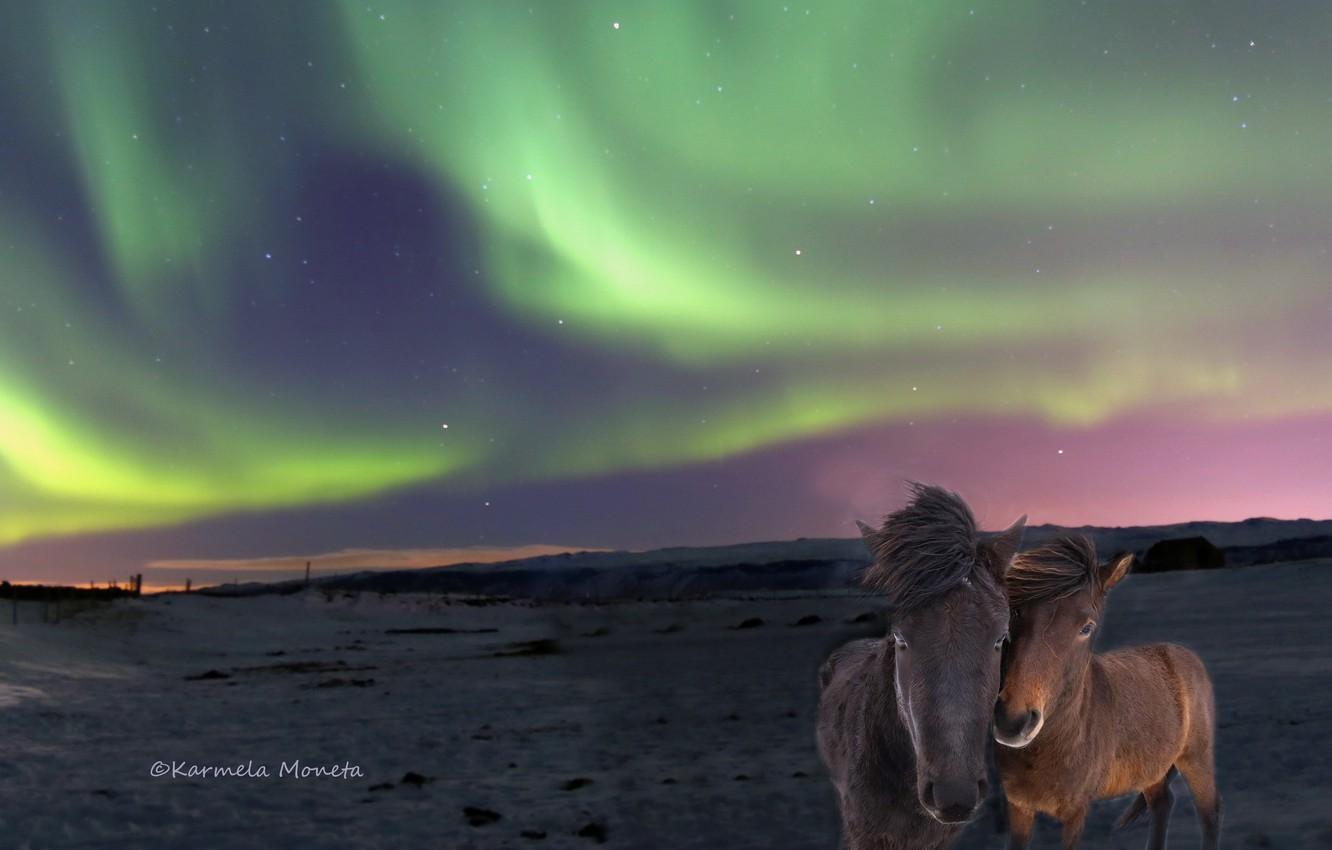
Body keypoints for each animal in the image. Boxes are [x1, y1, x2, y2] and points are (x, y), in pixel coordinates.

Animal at [994, 536, 1221, 850]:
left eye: (1087, 627)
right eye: (1012, 614)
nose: (1013, 721)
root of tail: (1183, 653)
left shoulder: (1075, 812)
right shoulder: (1018, 807)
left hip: (1196, 758)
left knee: (1209, 812)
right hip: (1151, 768)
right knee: (1162, 802)